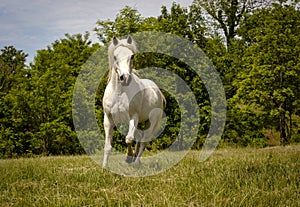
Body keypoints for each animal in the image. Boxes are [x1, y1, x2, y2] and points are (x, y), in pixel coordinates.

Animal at [102, 36, 164, 168]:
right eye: (115, 56)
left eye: (132, 56)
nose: (125, 78)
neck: (119, 93)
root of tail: (157, 91)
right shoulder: (108, 118)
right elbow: (108, 146)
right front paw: (104, 166)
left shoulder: (133, 117)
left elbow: (129, 139)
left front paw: (128, 157)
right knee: (139, 137)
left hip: (151, 122)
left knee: (144, 141)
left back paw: (136, 162)